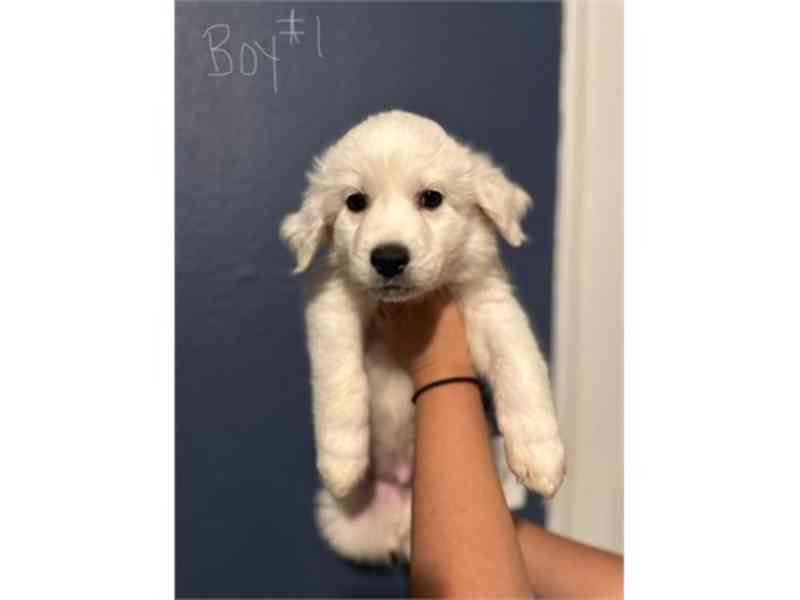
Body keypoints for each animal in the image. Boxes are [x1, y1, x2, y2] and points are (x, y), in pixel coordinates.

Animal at [280, 110, 564, 564]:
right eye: (355, 202)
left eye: (432, 198)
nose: (388, 258)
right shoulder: (332, 306)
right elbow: (340, 380)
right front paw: (342, 460)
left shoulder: (490, 305)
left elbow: (521, 368)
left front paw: (541, 457)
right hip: (344, 526)